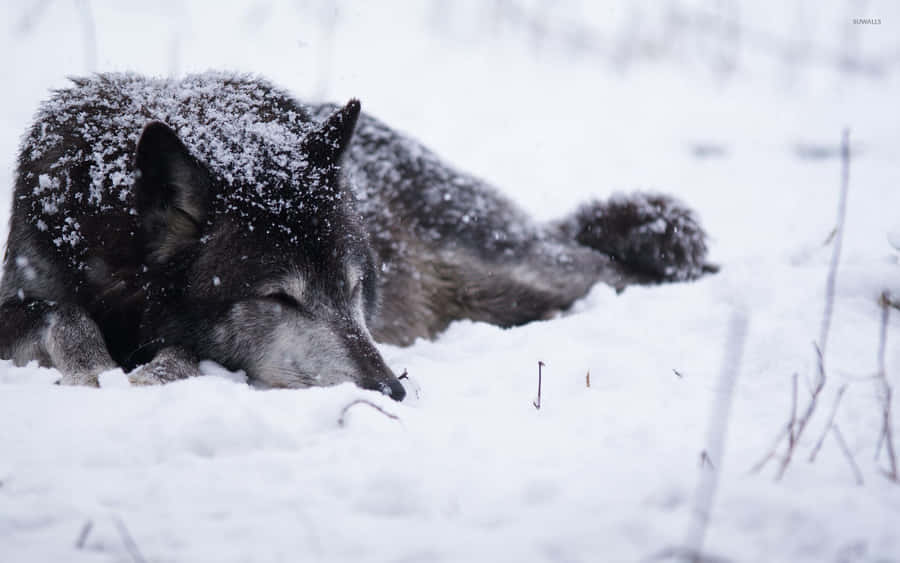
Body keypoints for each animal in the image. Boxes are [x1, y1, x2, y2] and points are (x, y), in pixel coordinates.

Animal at [0, 73, 713, 400]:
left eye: (352, 289)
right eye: (279, 298)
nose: (392, 391)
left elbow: (177, 351)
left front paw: (147, 373)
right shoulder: (24, 290)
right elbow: (59, 312)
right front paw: (96, 367)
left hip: (518, 275)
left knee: (615, 269)